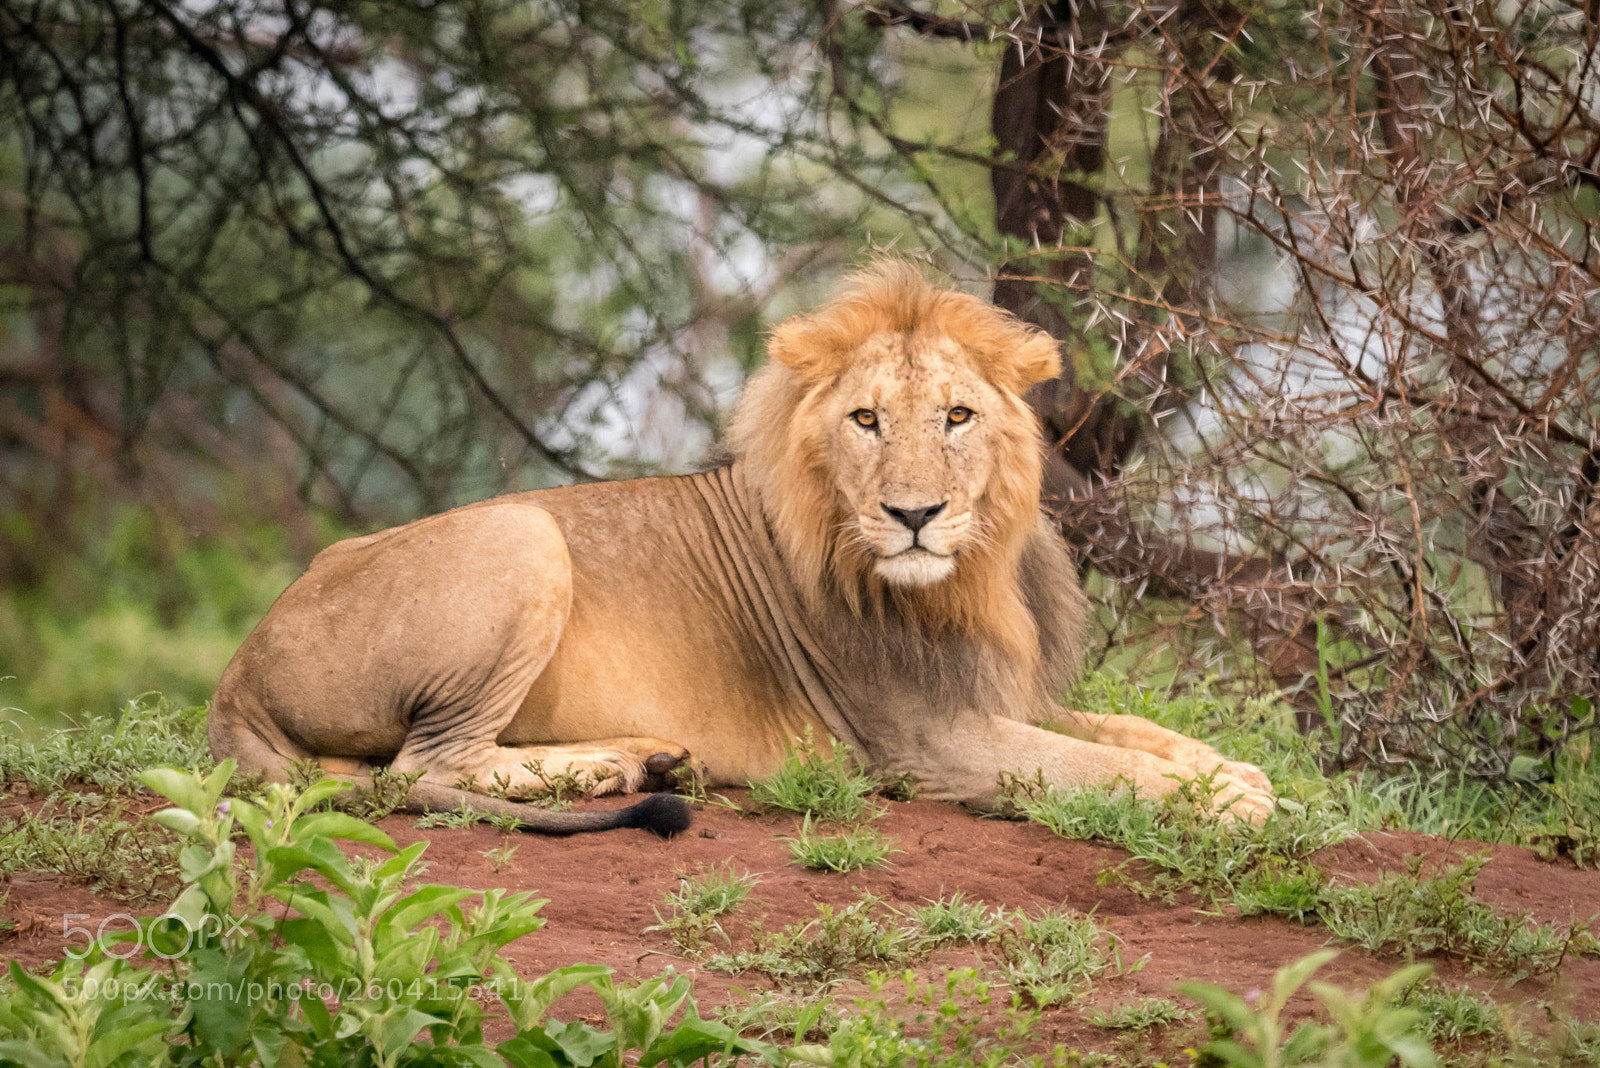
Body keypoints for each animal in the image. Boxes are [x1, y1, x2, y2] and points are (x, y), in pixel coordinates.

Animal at [209, 262, 1274, 834]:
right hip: (523, 533)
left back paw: (644, 759)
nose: (914, 515)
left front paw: (1238, 775)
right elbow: (1101, 769)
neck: (969, 580)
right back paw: (603, 773)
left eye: (958, 417)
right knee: (419, 769)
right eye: (866, 419)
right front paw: (1232, 802)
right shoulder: (930, 741)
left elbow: (1139, 735)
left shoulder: (1003, 693)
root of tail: (235, 676)